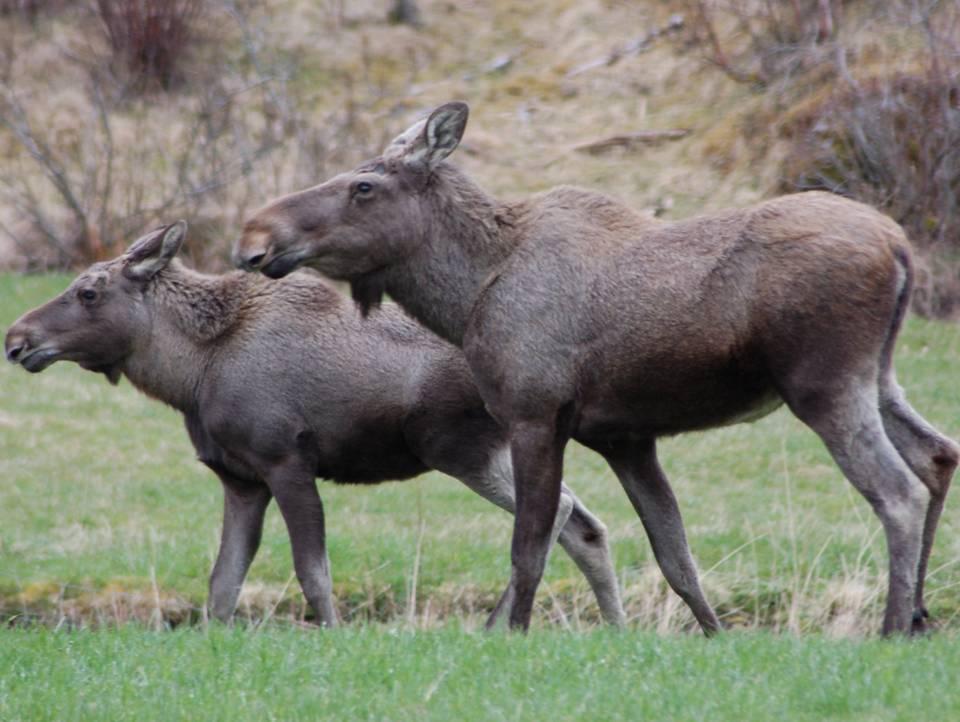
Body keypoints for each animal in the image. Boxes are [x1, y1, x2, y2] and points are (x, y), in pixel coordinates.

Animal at [3, 221, 628, 624]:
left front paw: (333, 636)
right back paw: (614, 627)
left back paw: (502, 623)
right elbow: (221, 584)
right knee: (588, 524)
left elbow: (312, 572)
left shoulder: (286, 460)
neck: (191, 375)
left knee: (558, 513)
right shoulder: (241, 479)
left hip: (461, 446)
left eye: (89, 292)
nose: (17, 339)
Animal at [236, 102, 960, 636]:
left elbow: (531, 543)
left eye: (363, 186)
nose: (255, 238)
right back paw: (919, 616)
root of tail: (899, 247)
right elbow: (675, 555)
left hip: (825, 383)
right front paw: (713, 637)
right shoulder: (624, 437)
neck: (467, 297)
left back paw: (891, 626)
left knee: (897, 491)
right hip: (879, 376)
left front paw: (511, 635)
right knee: (936, 455)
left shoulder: (534, 415)